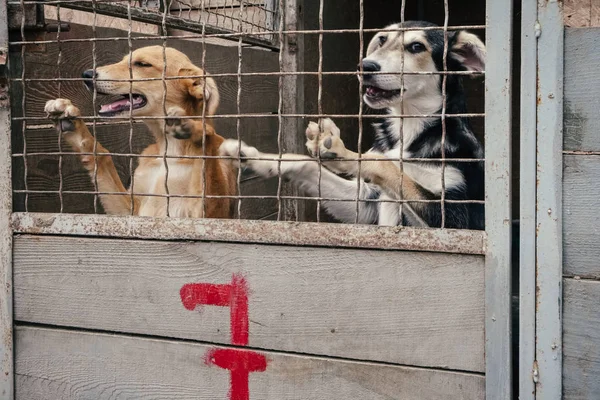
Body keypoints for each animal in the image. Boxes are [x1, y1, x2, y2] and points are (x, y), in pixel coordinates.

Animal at [45, 46, 237, 219]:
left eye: (142, 64)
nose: (86, 74)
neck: (170, 149)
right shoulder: (131, 211)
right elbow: (102, 155)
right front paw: (70, 121)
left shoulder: (205, 215)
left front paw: (197, 128)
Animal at [220, 21, 488, 228]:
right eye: (382, 40)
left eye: (416, 47)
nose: (365, 66)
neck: (409, 129)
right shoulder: (366, 201)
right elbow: (307, 164)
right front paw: (256, 158)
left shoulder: (454, 217)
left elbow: (380, 162)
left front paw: (342, 153)